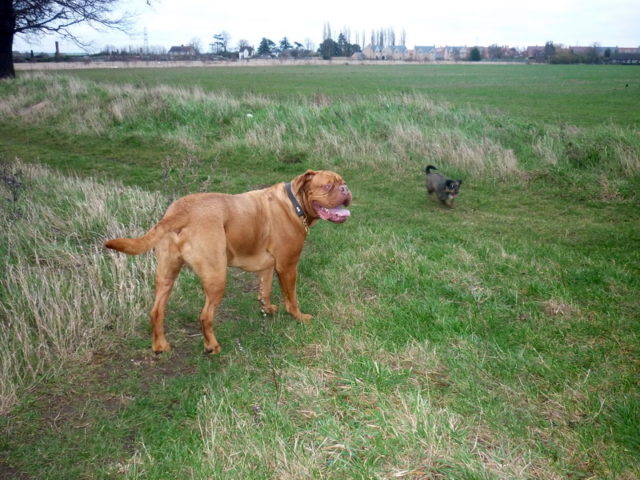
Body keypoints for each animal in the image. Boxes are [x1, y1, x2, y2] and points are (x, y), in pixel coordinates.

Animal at [104, 170, 352, 354]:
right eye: (328, 186)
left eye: (342, 183)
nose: (346, 189)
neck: (295, 204)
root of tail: (180, 212)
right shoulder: (288, 265)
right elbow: (291, 298)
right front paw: (299, 317)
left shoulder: (268, 266)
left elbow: (265, 289)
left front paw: (267, 308)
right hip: (216, 277)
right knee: (205, 316)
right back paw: (212, 346)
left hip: (166, 273)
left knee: (157, 311)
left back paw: (160, 346)